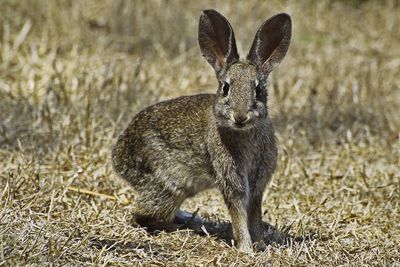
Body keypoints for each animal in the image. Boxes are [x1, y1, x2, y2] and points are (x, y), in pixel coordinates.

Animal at [111, 8, 292, 253]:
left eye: (258, 90)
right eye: (225, 88)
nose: (240, 116)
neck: (245, 133)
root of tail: (118, 157)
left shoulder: (257, 184)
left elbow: (254, 214)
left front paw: (260, 244)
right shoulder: (231, 177)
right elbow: (238, 212)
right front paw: (246, 249)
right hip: (169, 185)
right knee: (140, 216)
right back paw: (182, 228)